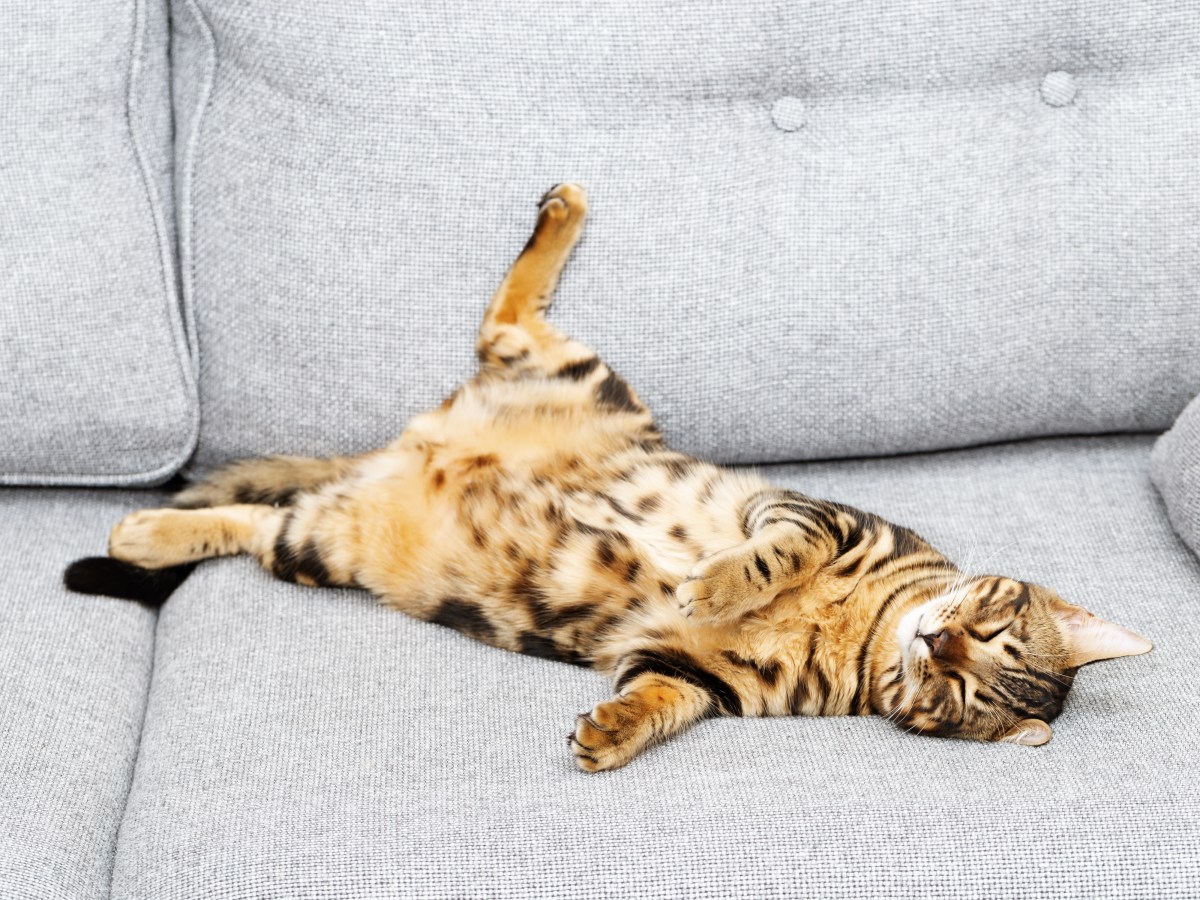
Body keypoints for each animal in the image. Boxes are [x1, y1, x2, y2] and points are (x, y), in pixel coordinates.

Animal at [65, 184, 1152, 777]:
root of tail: (408, 446)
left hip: (326, 544)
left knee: (259, 522)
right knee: (510, 309)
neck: (868, 635)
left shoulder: (696, 673)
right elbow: (774, 552)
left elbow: (663, 702)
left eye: (960, 693)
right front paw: (718, 579)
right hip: (577, 372)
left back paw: (142, 534)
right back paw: (564, 211)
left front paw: (611, 733)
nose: (937, 644)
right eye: (986, 633)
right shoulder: (817, 514)